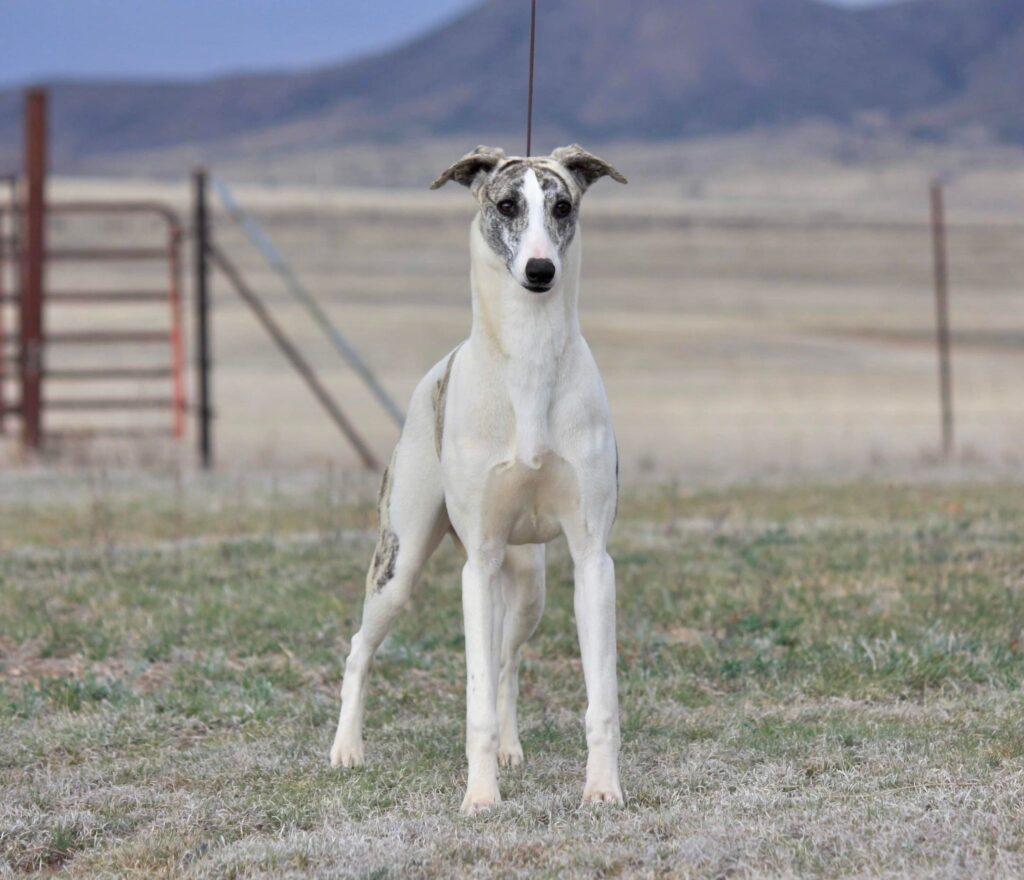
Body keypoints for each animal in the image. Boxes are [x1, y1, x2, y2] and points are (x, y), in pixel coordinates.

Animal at [331, 142, 626, 811]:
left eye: (562, 206)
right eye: (507, 204)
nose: (540, 271)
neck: (530, 360)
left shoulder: (592, 559)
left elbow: (599, 700)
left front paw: (602, 789)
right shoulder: (479, 561)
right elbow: (475, 703)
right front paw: (481, 798)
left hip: (530, 586)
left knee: (507, 664)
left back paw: (513, 749)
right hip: (401, 563)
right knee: (361, 649)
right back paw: (346, 749)